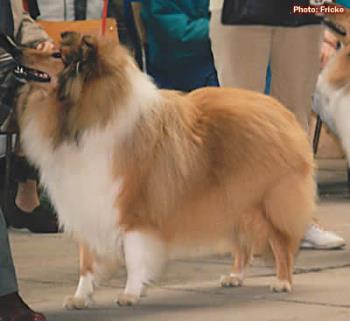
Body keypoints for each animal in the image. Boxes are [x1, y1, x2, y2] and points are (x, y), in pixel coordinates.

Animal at [14, 32, 314, 308]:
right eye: (47, 48)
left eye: (57, 55)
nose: (17, 50)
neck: (85, 117)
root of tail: (280, 110)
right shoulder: (87, 202)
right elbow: (86, 262)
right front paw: (79, 297)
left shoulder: (132, 210)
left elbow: (134, 256)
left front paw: (130, 293)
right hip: (233, 201)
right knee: (243, 244)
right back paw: (235, 277)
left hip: (266, 201)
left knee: (281, 243)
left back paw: (282, 281)